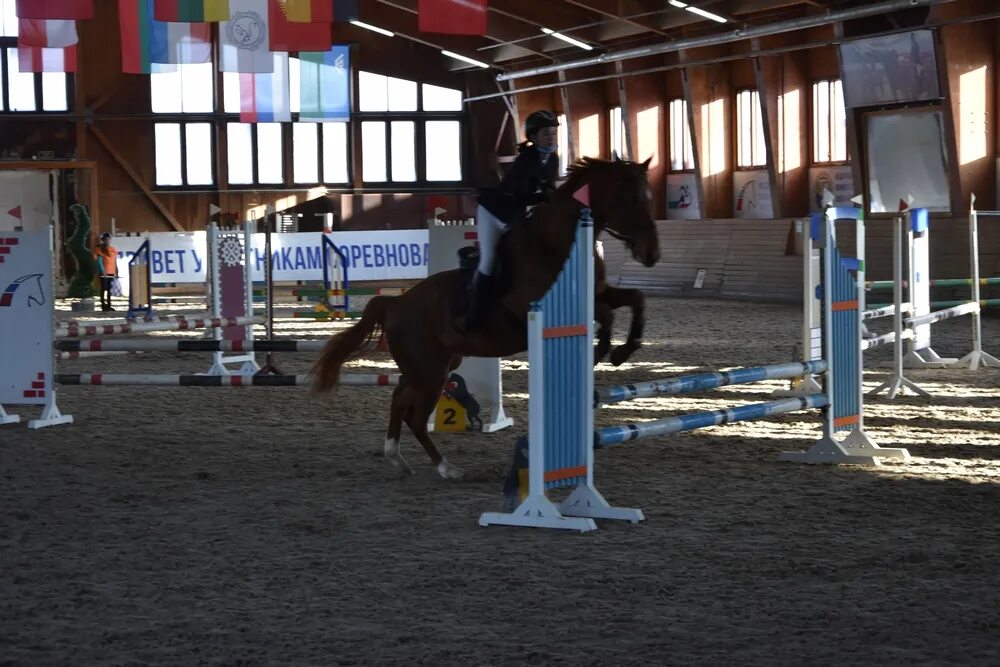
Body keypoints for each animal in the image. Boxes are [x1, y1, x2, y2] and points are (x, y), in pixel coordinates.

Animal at [308, 158, 660, 480]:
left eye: (648, 198)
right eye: (629, 199)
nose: (652, 254)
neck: (556, 244)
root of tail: (396, 303)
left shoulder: (600, 292)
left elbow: (635, 299)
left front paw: (623, 350)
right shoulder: (532, 305)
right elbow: (604, 314)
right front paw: (602, 350)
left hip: (434, 365)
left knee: (400, 400)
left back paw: (397, 458)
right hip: (430, 371)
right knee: (416, 416)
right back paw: (446, 468)